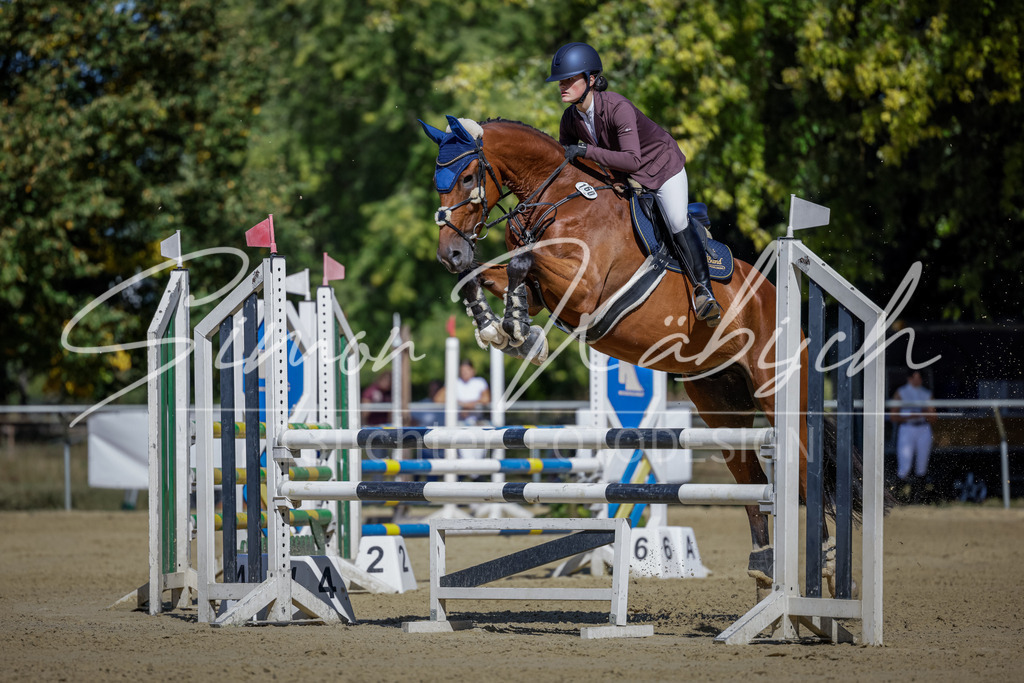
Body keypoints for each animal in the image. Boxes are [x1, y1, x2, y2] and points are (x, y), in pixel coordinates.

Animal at [418, 115, 850, 590]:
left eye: (467, 177)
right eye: (438, 184)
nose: (449, 253)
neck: (557, 197)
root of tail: (774, 298)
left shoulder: (584, 285)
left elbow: (522, 262)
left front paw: (516, 331)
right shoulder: (542, 293)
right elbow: (486, 275)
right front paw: (498, 328)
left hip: (776, 392)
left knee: (804, 468)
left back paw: (826, 563)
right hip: (719, 400)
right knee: (748, 475)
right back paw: (763, 564)